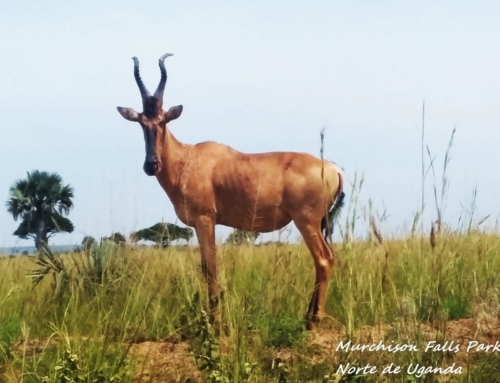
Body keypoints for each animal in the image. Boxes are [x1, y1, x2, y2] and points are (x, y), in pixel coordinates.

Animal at [116, 52, 344, 326]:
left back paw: (314, 319)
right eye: (141, 122)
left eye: (163, 120)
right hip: (317, 222)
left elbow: (210, 267)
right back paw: (307, 315)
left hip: (306, 220)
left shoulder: (205, 219)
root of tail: (334, 169)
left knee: (323, 258)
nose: (151, 164)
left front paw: (214, 320)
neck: (189, 158)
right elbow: (206, 266)